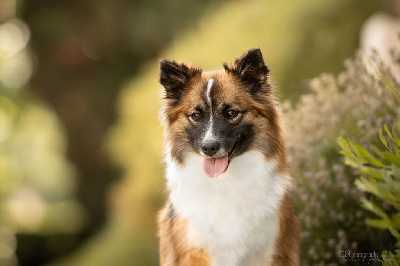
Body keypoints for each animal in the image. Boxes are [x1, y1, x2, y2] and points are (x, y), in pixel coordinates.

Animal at [158, 48, 298, 266]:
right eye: (196, 116)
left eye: (231, 113)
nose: (209, 148)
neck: (224, 182)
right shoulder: (196, 253)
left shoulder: (270, 251)